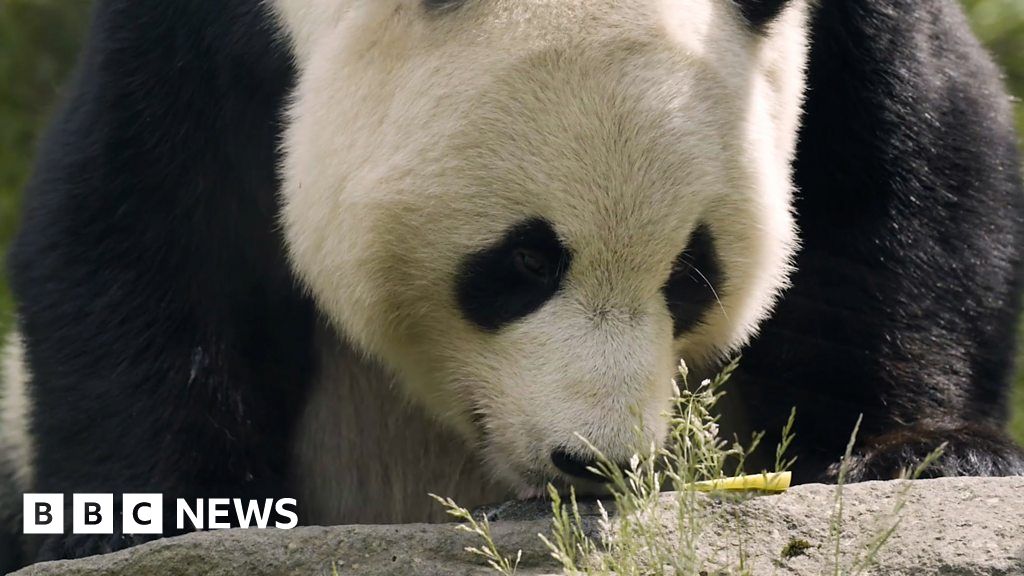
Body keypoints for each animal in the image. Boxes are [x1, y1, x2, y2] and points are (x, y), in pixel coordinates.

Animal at [0, 0, 1019, 565]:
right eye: (525, 261)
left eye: (691, 273)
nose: (596, 463)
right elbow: (144, 227)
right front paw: (164, 520)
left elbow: (908, 158)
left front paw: (922, 454)